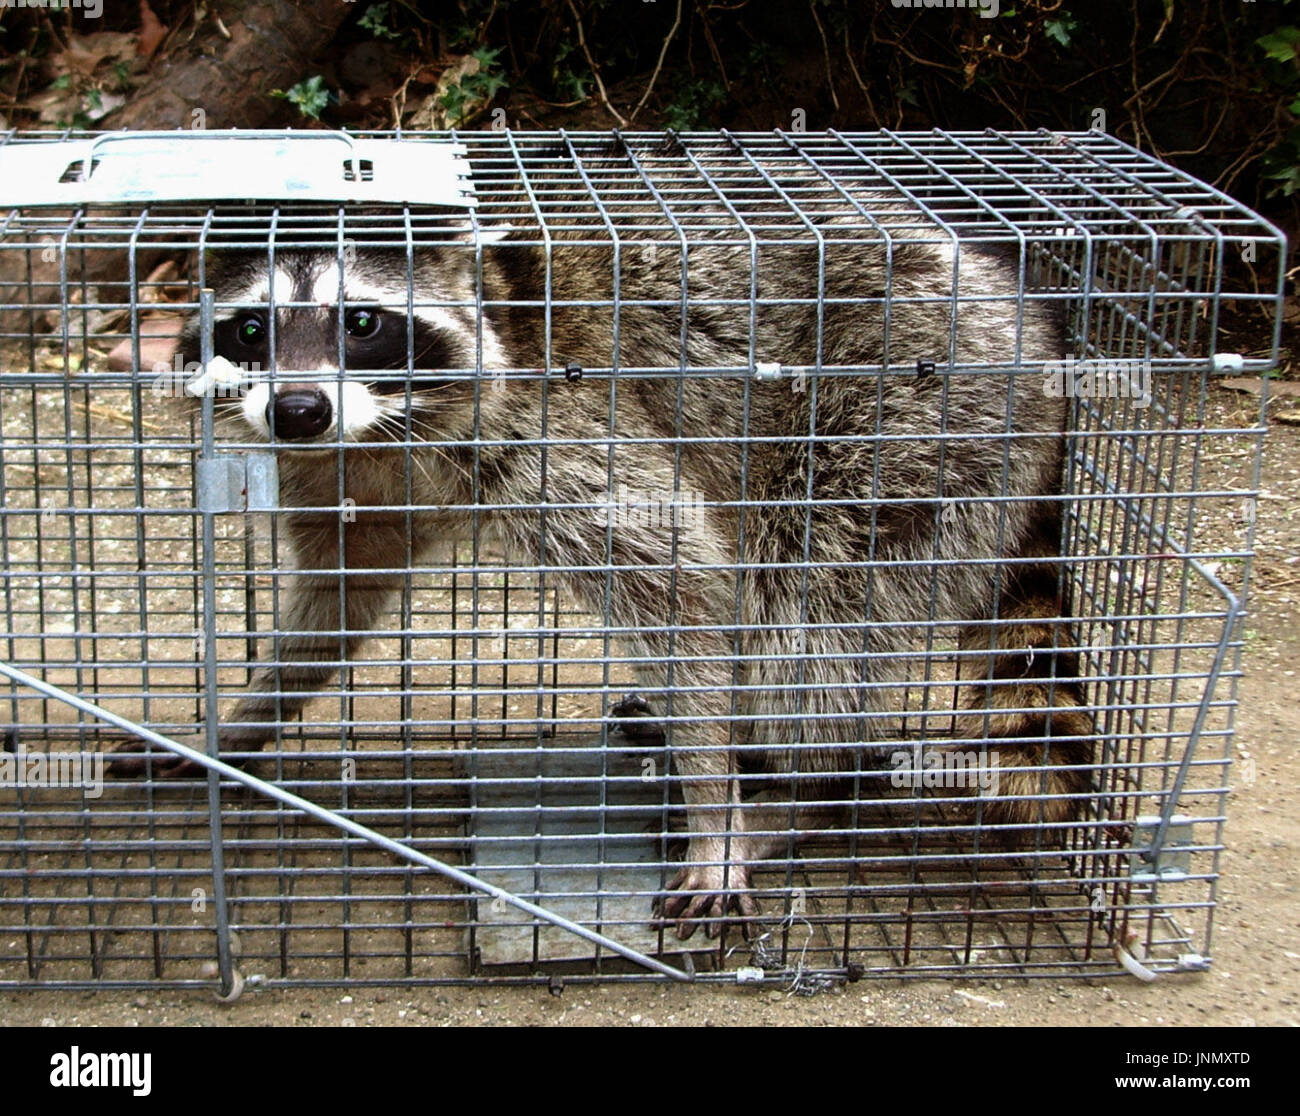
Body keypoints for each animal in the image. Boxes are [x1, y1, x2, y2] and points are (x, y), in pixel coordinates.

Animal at [115, 163, 1094, 938]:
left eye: (360, 322)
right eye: (250, 330)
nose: (297, 409)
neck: (388, 428)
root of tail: (1040, 347)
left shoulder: (554, 420)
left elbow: (684, 579)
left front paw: (715, 809)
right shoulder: (340, 471)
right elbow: (335, 602)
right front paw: (238, 724)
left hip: (914, 417)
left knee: (810, 611)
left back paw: (802, 785)